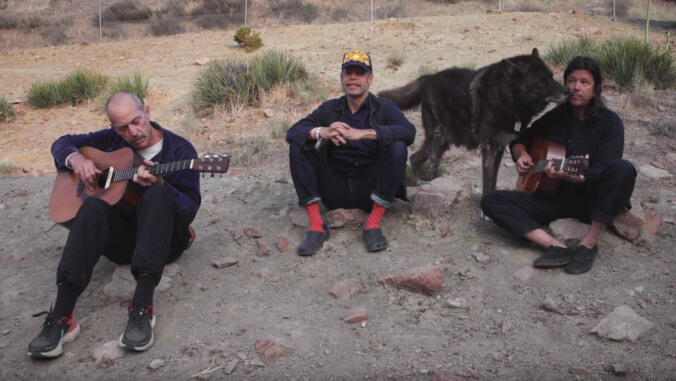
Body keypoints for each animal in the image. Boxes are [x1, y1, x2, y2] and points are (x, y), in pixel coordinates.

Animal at [380, 47, 564, 194]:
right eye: (540, 83)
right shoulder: (489, 149)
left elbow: (493, 181)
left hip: (443, 141)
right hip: (438, 142)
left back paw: (420, 183)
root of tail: (428, 77)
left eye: (551, 76)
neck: (507, 99)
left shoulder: (499, 149)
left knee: (414, 158)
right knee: (431, 167)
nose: (567, 91)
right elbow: (487, 182)